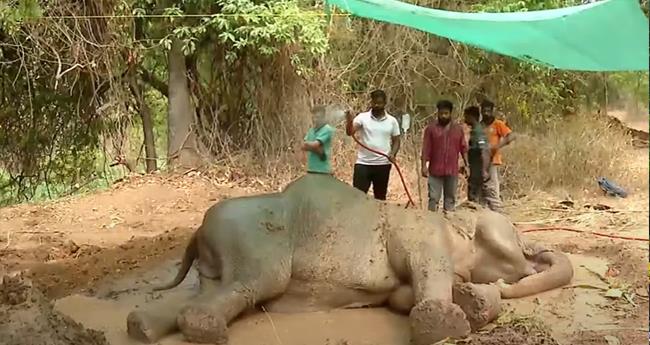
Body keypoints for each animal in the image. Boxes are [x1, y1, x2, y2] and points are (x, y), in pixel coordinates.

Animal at [124, 173, 568, 342]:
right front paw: (443, 327)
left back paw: (142, 327)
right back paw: (202, 329)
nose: (525, 265)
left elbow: (401, 297)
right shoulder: (418, 232)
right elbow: (426, 265)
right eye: (512, 233)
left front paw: (476, 300)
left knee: (213, 288)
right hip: (255, 241)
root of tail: (198, 233)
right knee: (253, 282)